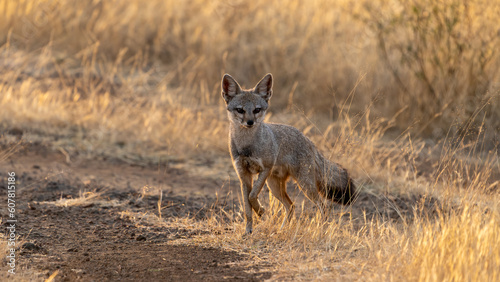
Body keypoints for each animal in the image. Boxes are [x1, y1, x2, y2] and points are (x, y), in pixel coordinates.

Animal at [222, 72, 356, 234]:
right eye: (240, 110)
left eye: (257, 110)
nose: (250, 122)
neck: (247, 146)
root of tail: (309, 141)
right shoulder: (243, 175)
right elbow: (247, 203)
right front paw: (248, 230)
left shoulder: (265, 168)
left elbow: (252, 195)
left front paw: (260, 210)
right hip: (274, 186)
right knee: (291, 206)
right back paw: (282, 229)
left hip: (304, 185)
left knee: (323, 207)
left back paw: (321, 230)